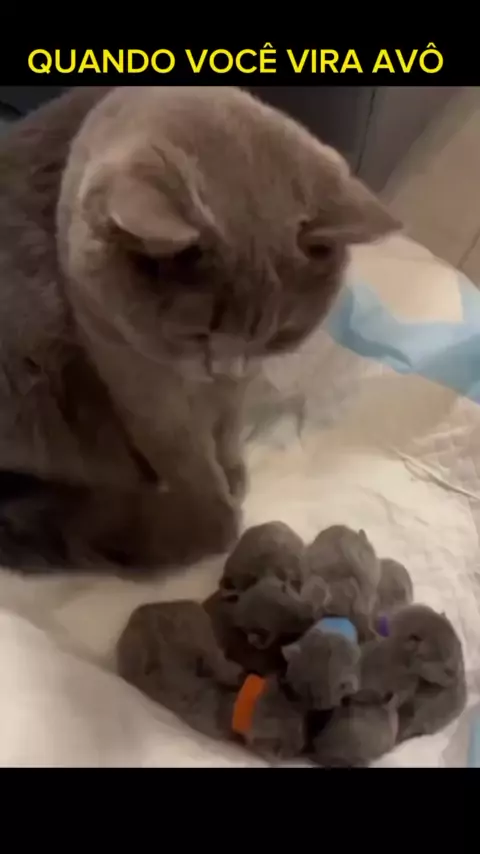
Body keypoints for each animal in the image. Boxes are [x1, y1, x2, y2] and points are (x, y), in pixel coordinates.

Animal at [0, 86, 399, 572]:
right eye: (196, 333)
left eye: (278, 336)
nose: (225, 367)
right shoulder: (132, 374)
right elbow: (189, 462)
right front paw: (220, 518)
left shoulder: (235, 382)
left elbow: (227, 426)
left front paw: (233, 471)